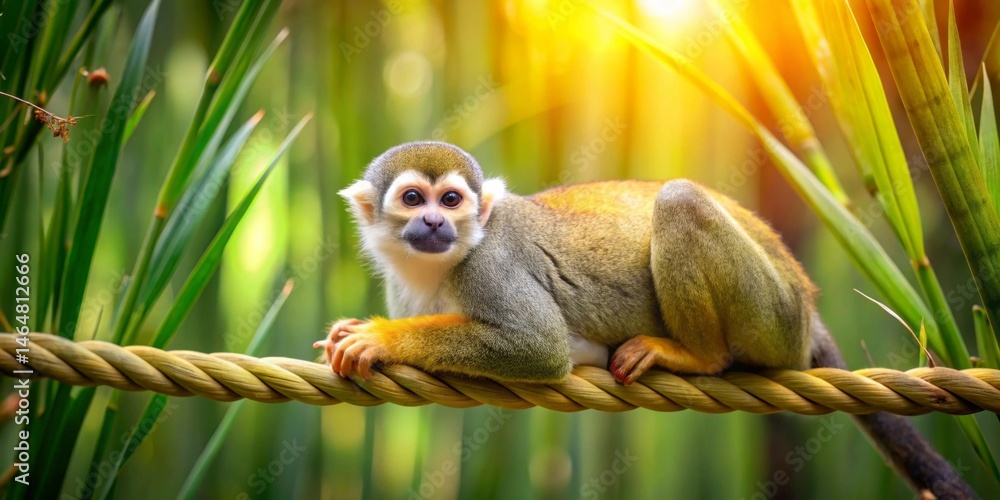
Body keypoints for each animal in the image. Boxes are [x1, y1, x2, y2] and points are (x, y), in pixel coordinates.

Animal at [314, 141, 974, 498]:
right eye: (412, 199)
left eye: (451, 201)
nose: (434, 223)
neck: (439, 267)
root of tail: (807, 304)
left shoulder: (490, 263)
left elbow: (539, 347)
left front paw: (380, 339)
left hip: (776, 318)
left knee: (680, 201)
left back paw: (697, 355)